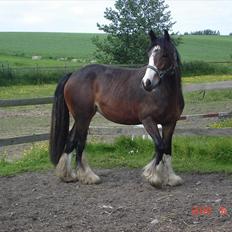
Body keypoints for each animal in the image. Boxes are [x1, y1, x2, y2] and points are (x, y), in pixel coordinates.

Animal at [49, 29, 185, 188]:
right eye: (149, 54)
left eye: (164, 54)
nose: (147, 83)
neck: (163, 92)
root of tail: (73, 75)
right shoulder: (148, 120)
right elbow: (160, 146)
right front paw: (153, 177)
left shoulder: (170, 122)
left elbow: (167, 148)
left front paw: (171, 178)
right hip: (83, 117)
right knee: (80, 143)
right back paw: (88, 176)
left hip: (80, 117)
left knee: (71, 140)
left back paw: (67, 175)